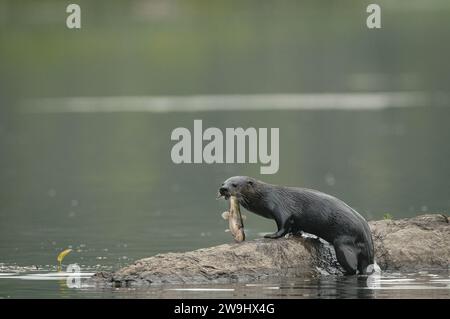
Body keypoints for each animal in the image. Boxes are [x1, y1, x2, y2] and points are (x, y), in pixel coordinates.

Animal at [220, 176, 374, 276]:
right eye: (224, 182)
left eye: (234, 184)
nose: (223, 189)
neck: (266, 196)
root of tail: (366, 235)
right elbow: (294, 226)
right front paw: (296, 234)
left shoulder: (280, 208)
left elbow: (283, 225)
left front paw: (271, 235)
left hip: (343, 242)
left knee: (352, 266)